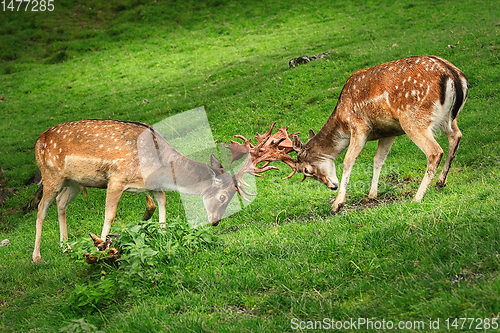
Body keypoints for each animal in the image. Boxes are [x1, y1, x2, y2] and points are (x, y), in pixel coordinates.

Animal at [290, 54, 468, 210]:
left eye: (306, 170)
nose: (332, 186)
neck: (341, 122)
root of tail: (454, 76)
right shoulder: (389, 132)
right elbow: (378, 159)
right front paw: (370, 196)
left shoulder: (359, 127)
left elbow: (348, 160)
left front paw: (337, 204)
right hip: (449, 118)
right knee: (456, 136)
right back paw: (440, 182)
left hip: (413, 119)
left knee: (435, 151)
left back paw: (417, 197)